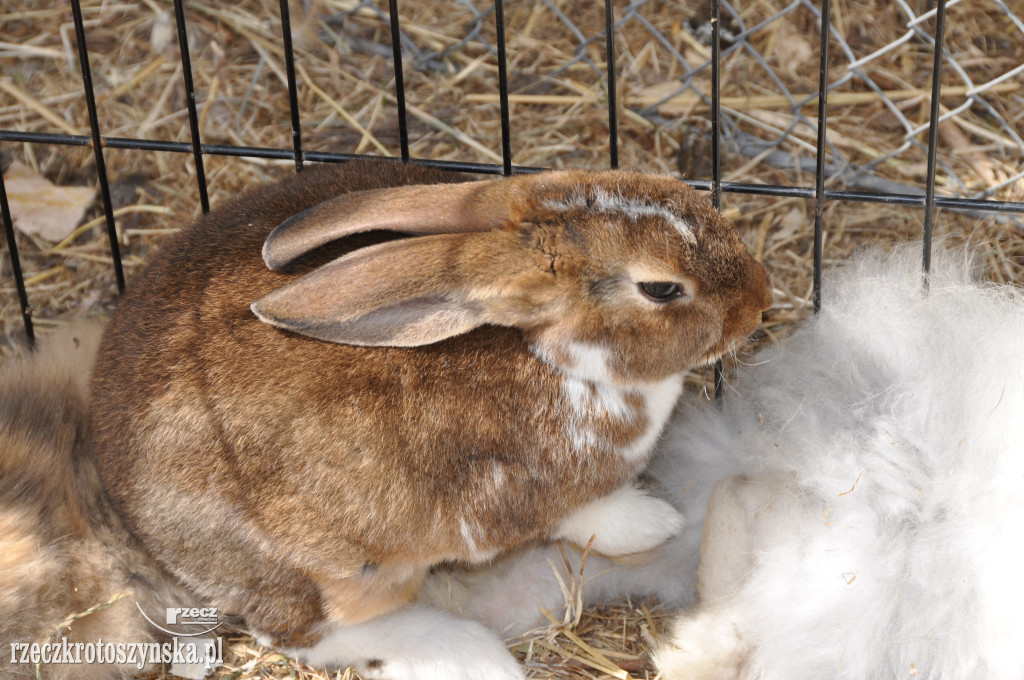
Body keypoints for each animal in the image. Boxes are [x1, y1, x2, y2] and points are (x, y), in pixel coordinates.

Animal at [92, 160, 770, 680]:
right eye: (661, 289)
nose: (760, 301)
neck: (552, 356)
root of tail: (128, 504)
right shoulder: (517, 496)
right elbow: (586, 516)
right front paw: (658, 522)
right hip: (328, 574)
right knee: (304, 634)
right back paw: (467, 654)